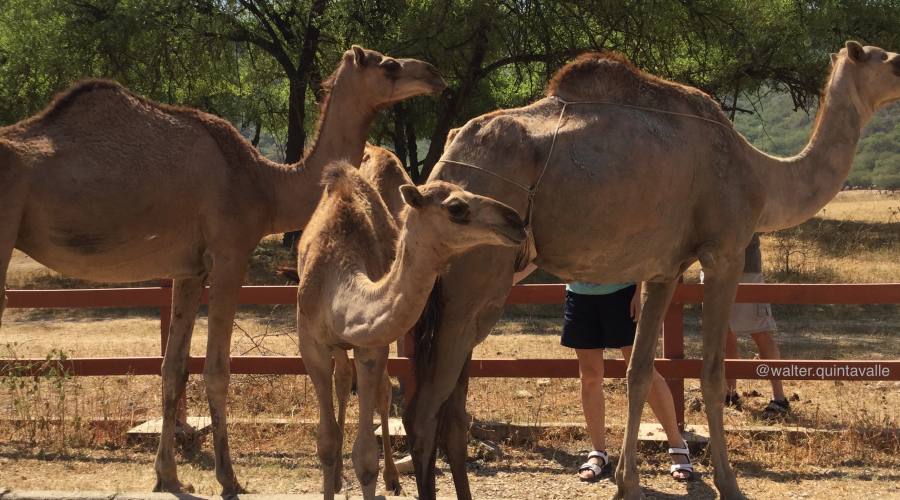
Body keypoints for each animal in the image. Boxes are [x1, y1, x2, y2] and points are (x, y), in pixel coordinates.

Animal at [0, 45, 442, 494]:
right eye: (388, 65)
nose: (433, 73)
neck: (266, 184)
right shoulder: (231, 254)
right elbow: (216, 368)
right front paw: (229, 478)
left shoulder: (188, 269)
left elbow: (173, 368)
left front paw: (167, 476)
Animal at [292, 161, 524, 500]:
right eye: (456, 207)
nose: (516, 221)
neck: (336, 281)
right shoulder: (310, 345)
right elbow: (326, 441)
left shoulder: (370, 345)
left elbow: (365, 456)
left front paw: (378, 475)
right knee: (343, 380)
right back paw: (335, 479)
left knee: (379, 390)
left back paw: (392, 478)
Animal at [404, 43, 900, 500]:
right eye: (893, 61)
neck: (759, 175)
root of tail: (444, 162)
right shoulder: (724, 253)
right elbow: (711, 373)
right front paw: (729, 484)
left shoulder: (666, 269)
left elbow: (639, 371)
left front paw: (628, 483)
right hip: (472, 277)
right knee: (423, 409)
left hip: (477, 287)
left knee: (451, 407)